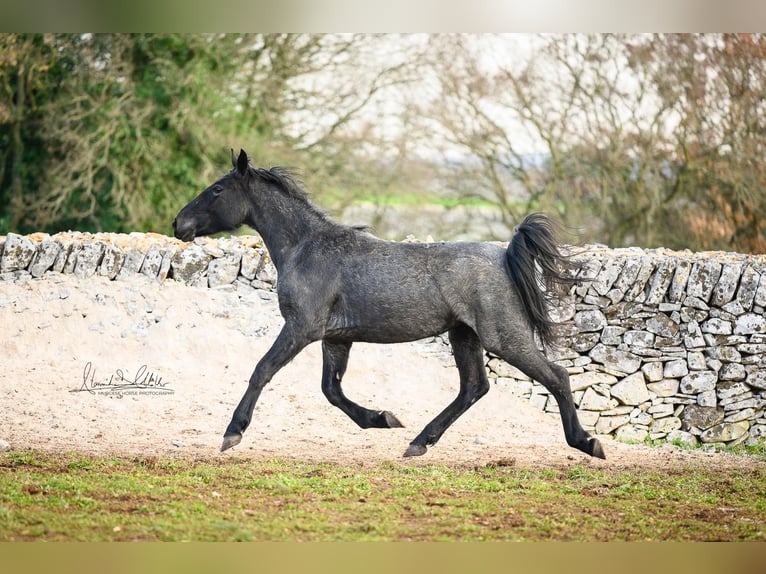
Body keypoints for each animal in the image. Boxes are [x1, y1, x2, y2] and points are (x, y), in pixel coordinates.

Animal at [172, 151, 608, 462]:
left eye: (216, 190)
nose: (179, 224)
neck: (307, 248)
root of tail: (504, 256)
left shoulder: (301, 328)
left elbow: (262, 371)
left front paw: (232, 433)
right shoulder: (335, 338)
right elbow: (331, 389)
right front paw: (382, 419)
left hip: (504, 337)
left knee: (556, 376)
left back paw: (587, 443)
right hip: (463, 335)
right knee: (474, 388)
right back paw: (418, 442)